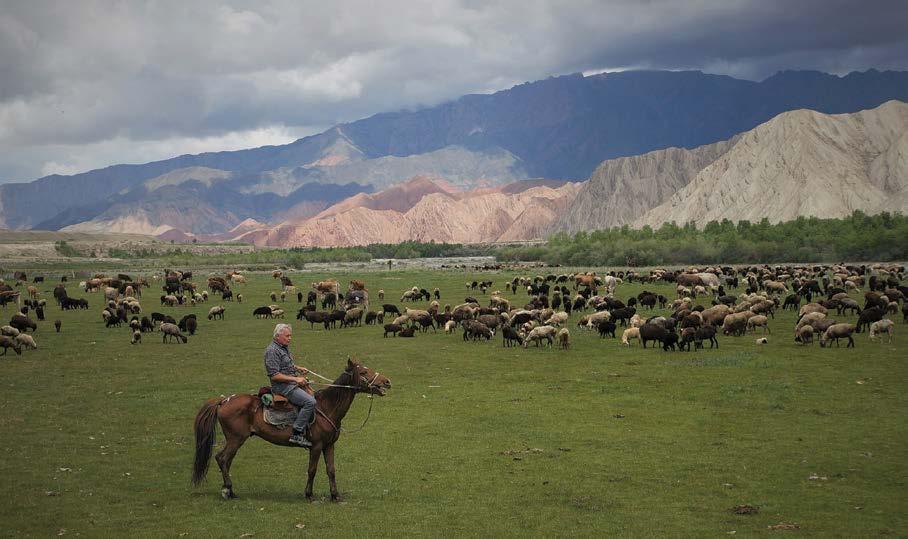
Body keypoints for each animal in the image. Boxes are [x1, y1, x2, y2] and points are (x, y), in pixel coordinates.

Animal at [192, 358, 390, 502]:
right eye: (363, 372)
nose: (387, 381)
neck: (327, 407)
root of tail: (224, 401)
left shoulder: (329, 445)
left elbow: (331, 470)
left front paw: (335, 496)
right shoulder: (316, 446)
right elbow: (312, 470)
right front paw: (309, 495)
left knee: (225, 460)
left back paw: (230, 490)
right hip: (236, 439)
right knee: (222, 458)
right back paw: (227, 491)